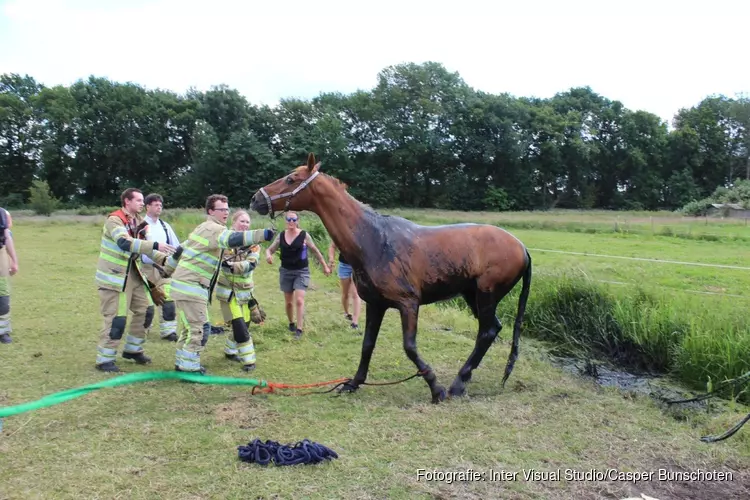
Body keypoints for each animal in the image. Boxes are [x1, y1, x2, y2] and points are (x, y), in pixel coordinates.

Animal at [253, 152, 536, 402]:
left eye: (291, 179)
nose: (256, 198)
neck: (374, 240)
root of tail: (522, 247)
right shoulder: (375, 305)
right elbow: (367, 344)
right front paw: (353, 383)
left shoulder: (408, 304)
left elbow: (409, 346)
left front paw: (435, 388)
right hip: (473, 296)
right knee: (491, 330)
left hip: (486, 295)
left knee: (486, 332)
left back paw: (457, 385)